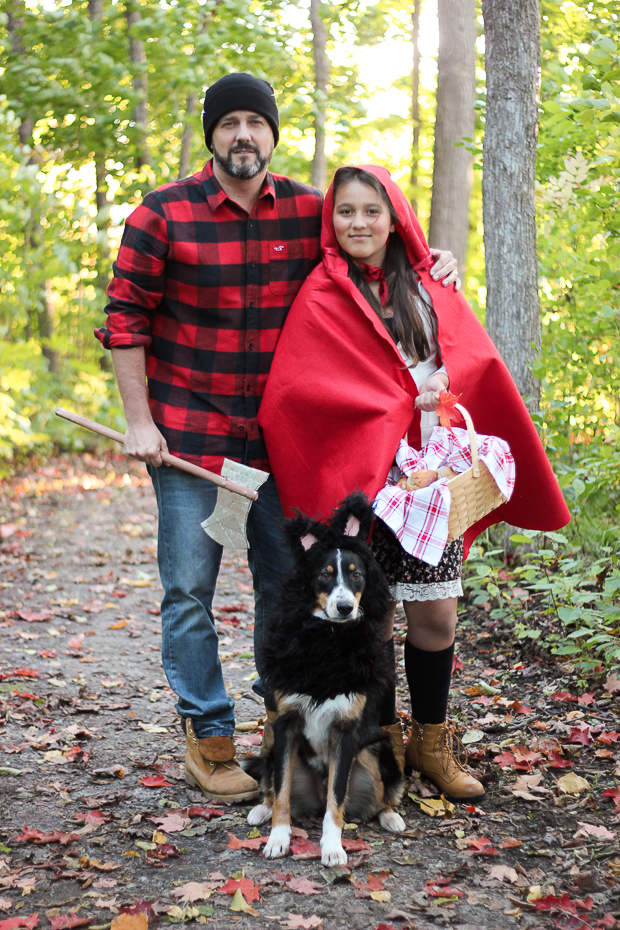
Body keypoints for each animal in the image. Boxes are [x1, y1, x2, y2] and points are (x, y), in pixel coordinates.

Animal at [247, 492, 406, 864]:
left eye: (357, 575)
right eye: (324, 575)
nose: (345, 607)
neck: (327, 639)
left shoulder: (346, 733)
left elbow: (337, 799)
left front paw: (332, 847)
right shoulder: (287, 725)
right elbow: (282, 792)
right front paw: (278, 838)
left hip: (378, 750)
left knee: (382, 794)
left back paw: (391, 815)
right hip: (274, 748)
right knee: (272, 785)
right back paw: (261, 809)